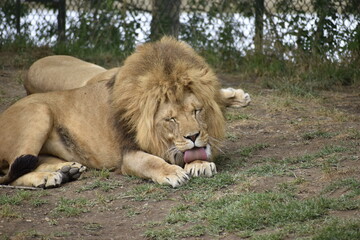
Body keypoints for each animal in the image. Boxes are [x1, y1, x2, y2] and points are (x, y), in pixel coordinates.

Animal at [0, 37, 250, 188]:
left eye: (197, 111)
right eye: (170, 119)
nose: (193, 136)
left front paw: (199, 163)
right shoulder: (128, 154)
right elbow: (151, 162)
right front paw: (173, 172)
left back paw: (67, 170)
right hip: (39, 112)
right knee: (8, 174)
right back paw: (47, 177)